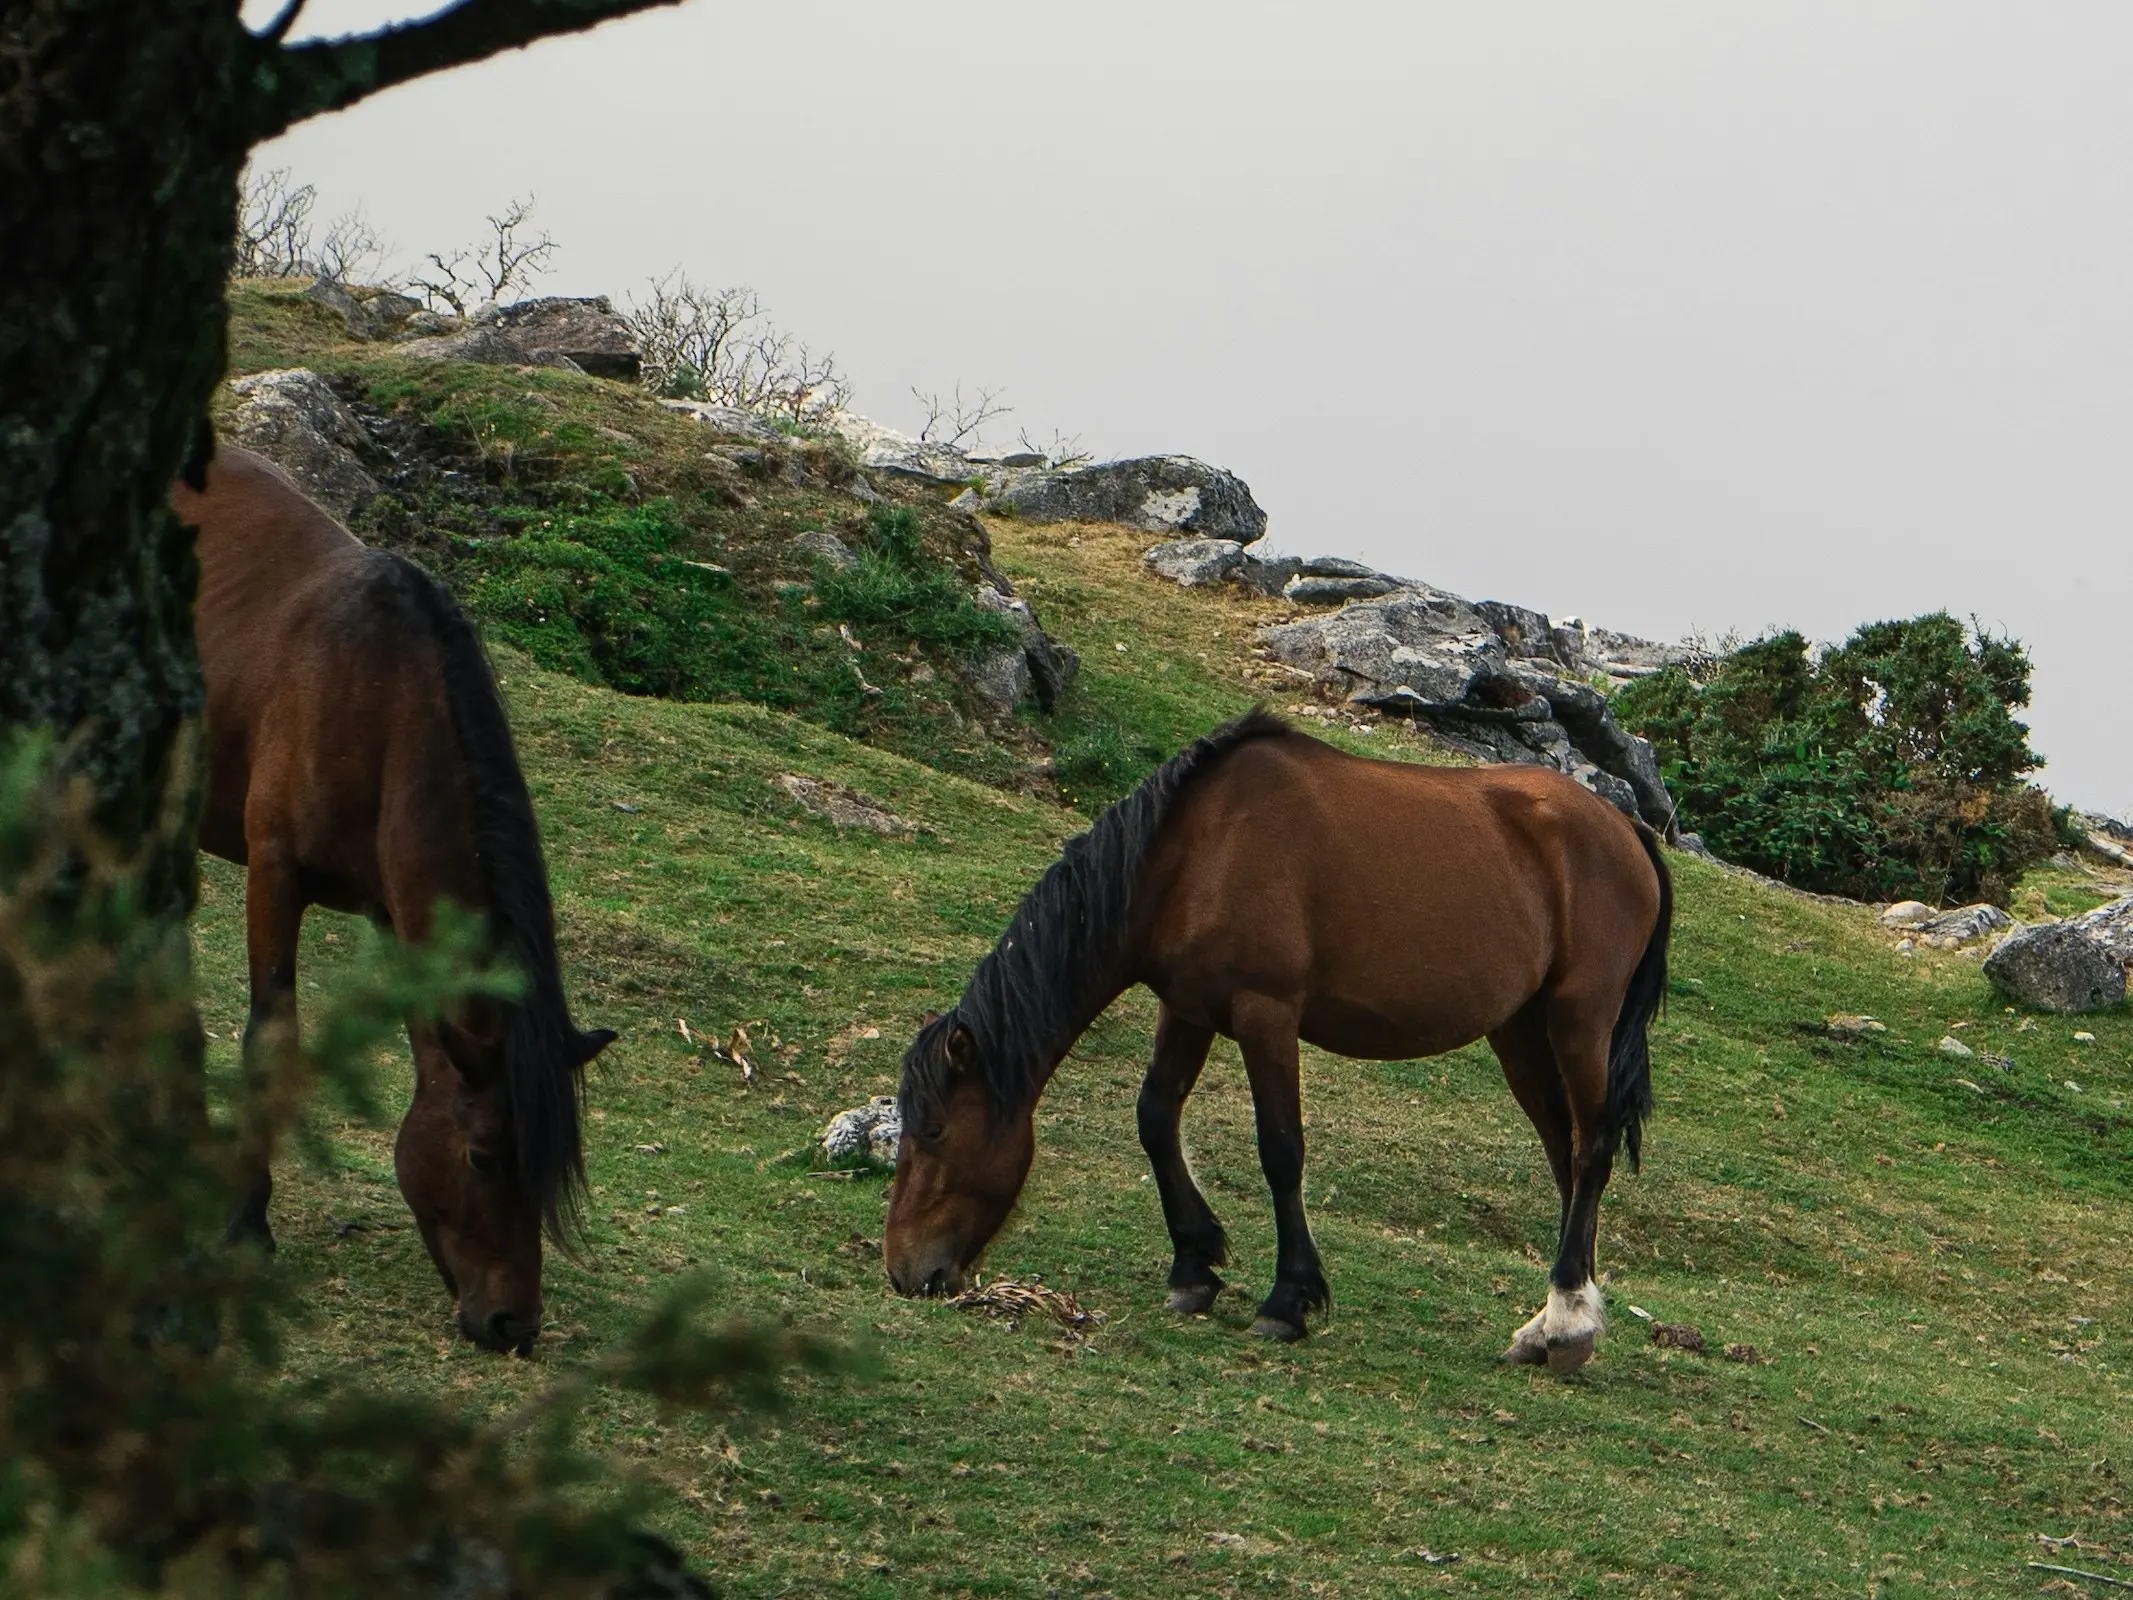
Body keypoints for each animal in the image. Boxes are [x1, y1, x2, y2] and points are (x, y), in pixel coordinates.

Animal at [170, 448, 614, 1356]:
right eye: (482, 1157)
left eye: (550, 1170)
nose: (511, 1324)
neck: (378, 699)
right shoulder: (274, 872)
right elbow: (271, 1037)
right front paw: (246, 1220)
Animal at [883, 712, 1663, 1382]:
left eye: (934, 1130)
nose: (905, 1272)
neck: (1193, 852)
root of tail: (1624, 828)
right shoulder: (1186, 1008)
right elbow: (1155, 1119)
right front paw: (1194, 1267)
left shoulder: (1267, 1014)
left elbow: (1280, 1149)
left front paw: (1287, 1301)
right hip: (1519, 1032)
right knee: (1565, 1155)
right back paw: (1552, 1325)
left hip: (1577, 1019)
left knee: (1589, 1152)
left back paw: (1567, 1322)